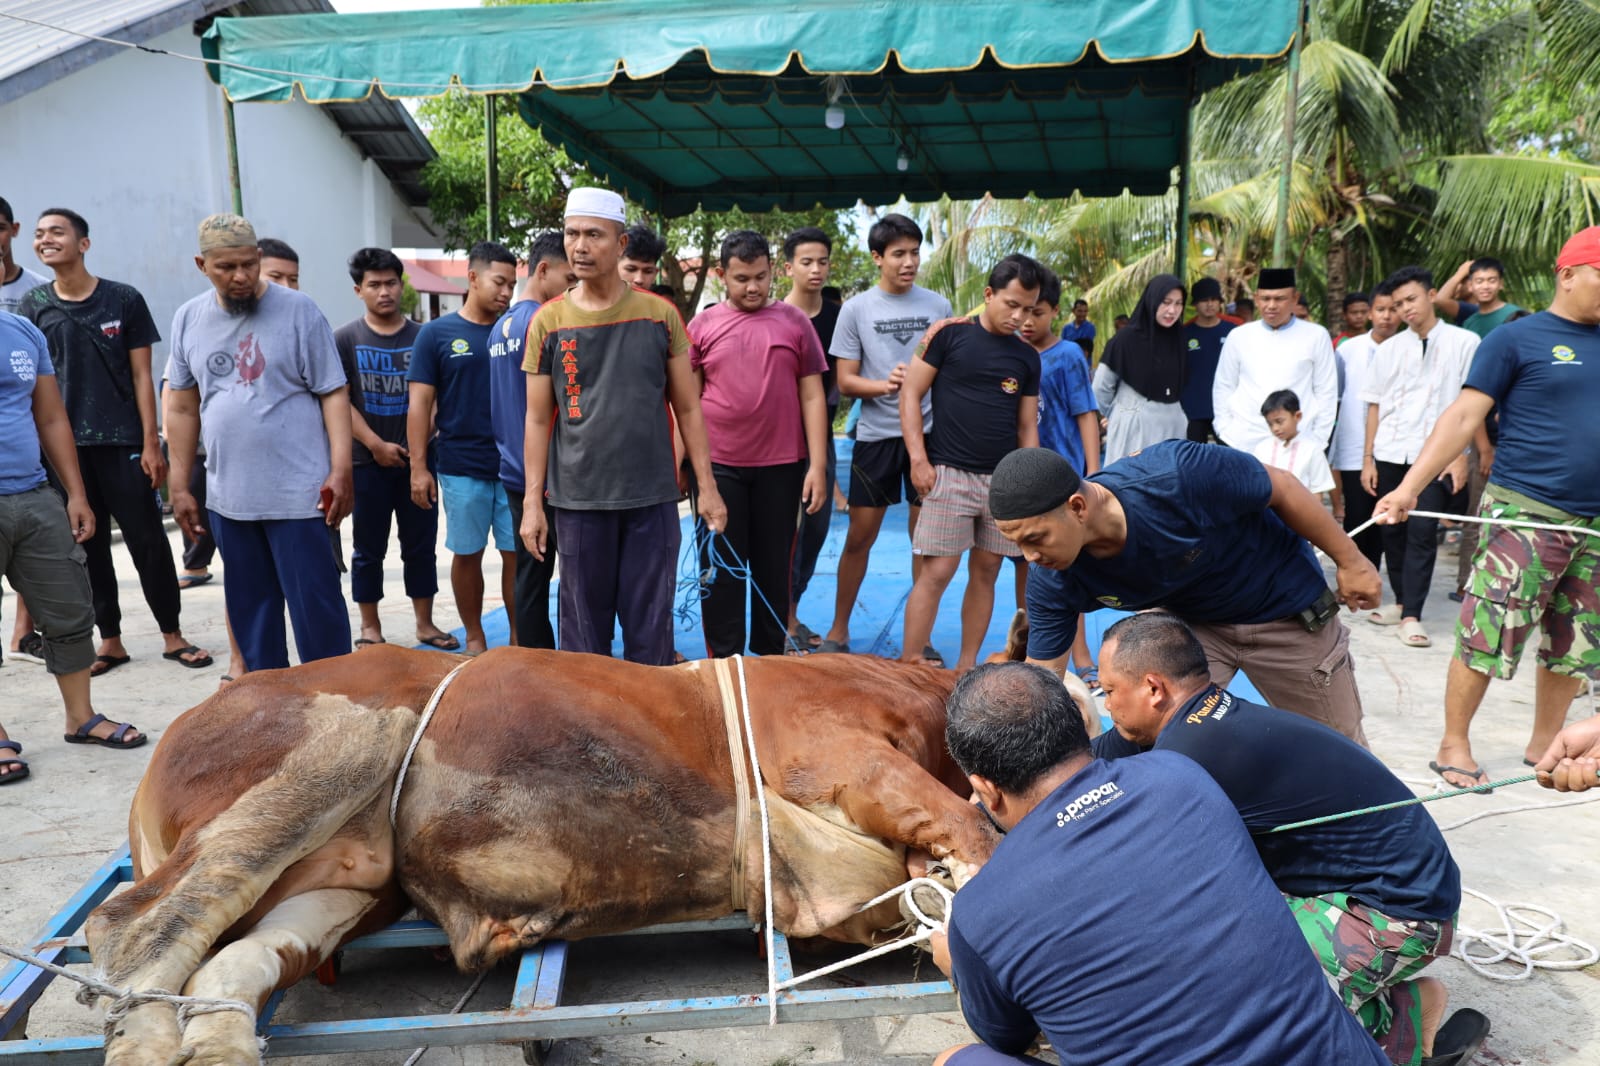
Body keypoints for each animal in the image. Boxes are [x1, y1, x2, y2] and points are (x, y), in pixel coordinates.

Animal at [84, 643, 998, 1056]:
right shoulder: (838, 748)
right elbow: (977, 837)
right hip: (340, 743)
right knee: (136, 929)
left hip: (348, 879)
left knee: (224, 971)